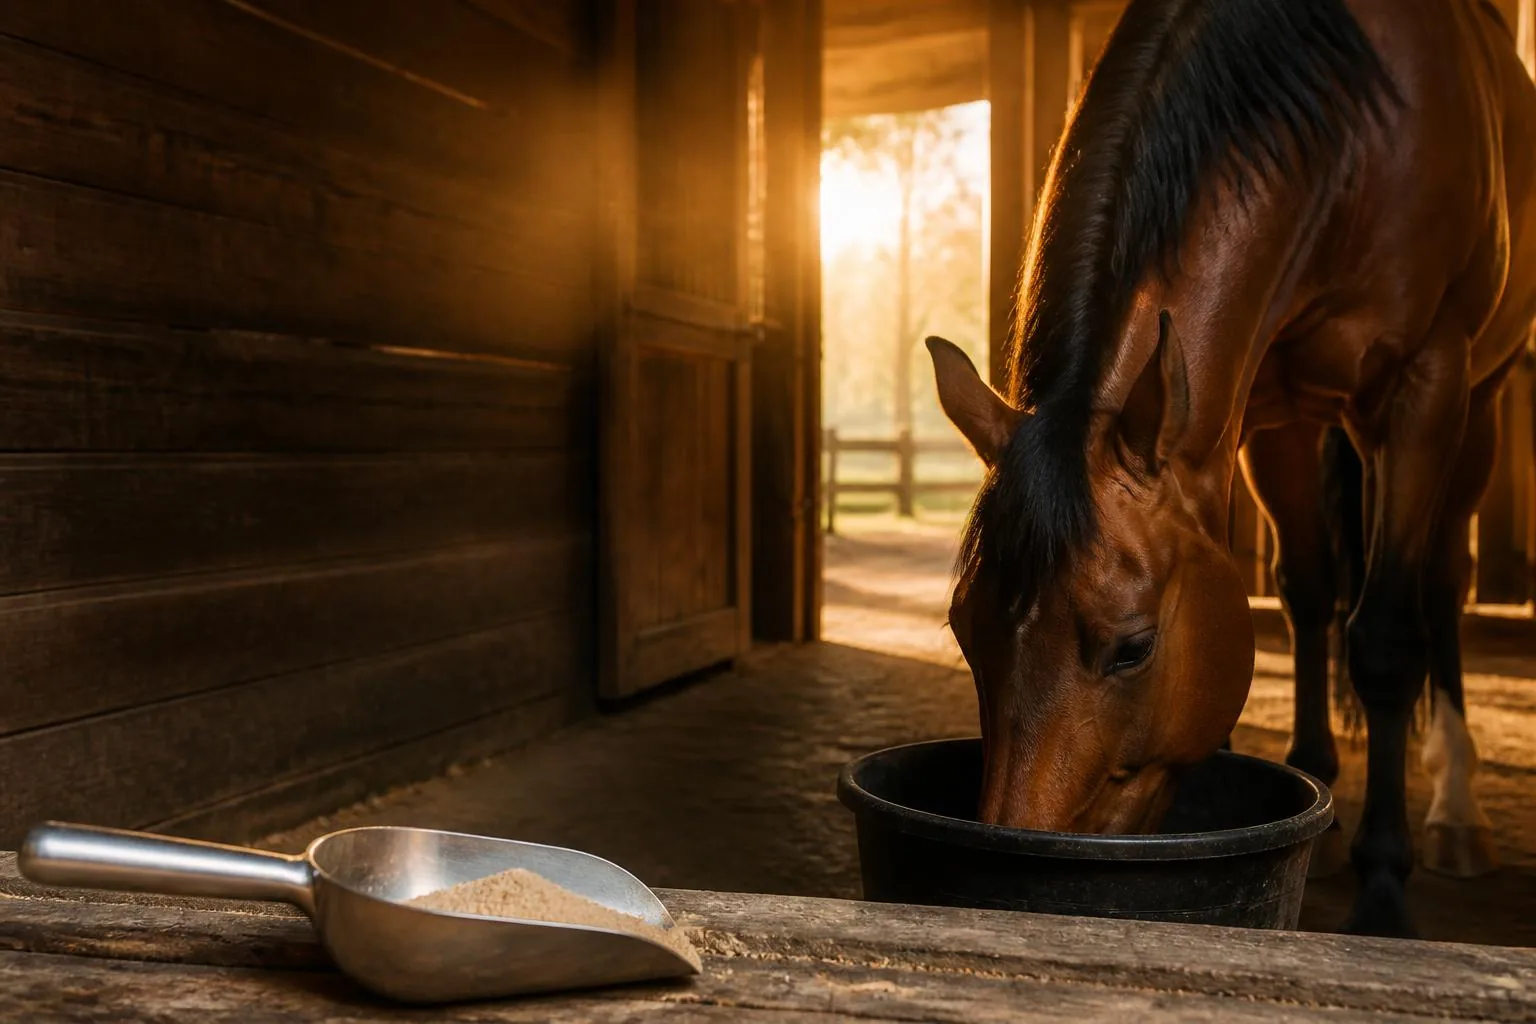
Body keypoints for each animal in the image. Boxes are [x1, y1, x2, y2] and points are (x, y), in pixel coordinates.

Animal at [924, 0, 1536, 938]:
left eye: (1134, 648)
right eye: (966, 628)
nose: (1020, 852)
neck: (1355, 137)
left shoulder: (1424, 385)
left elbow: (1386, 641)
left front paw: (1384, 889)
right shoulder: (1257, 415)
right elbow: (1309, 593)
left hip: (1480, 402)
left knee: (1439, 584)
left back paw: (1456, 811)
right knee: (1316, 592)